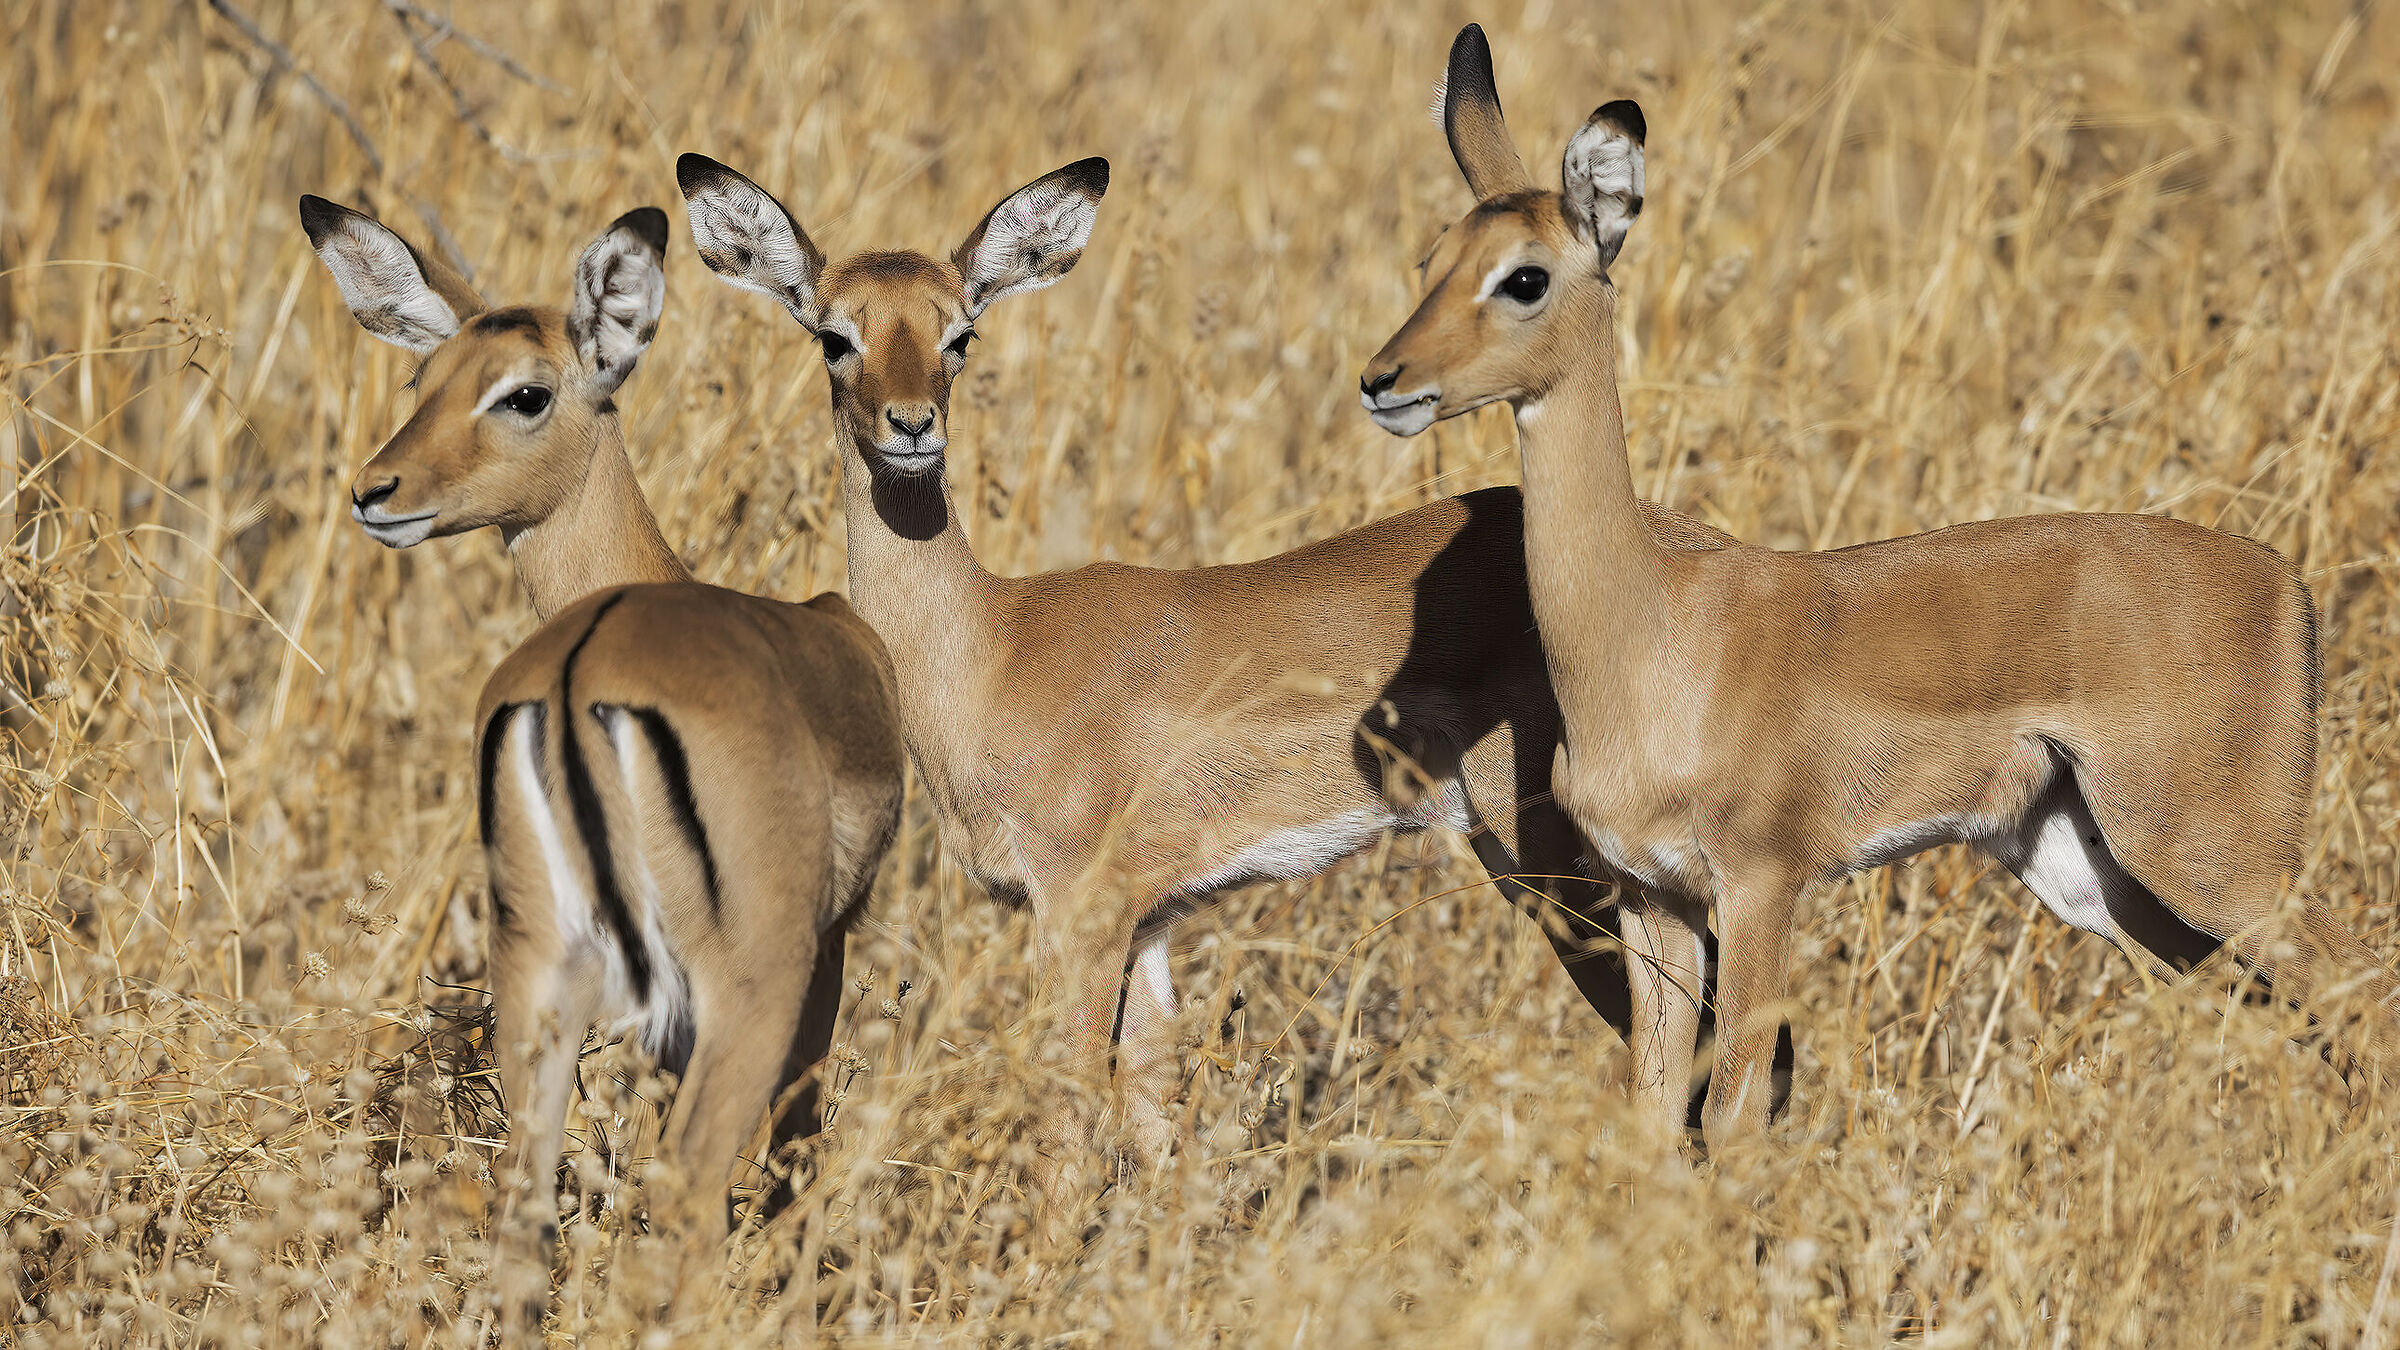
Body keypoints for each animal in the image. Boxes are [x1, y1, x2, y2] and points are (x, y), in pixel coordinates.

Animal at [300, 196, 906, 1331]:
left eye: (520, 392)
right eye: (423, 382)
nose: (373, 491)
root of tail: (580, 673)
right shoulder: (825, 949)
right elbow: (795, 1164)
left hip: (539, 974)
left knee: (525, 1210)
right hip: (743, 991)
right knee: (689, 1196)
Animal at [676, 151, 1791, 1237]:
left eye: (961, 331)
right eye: (834, 335)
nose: (912, 426)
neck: (992, 647)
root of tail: (1698, 561)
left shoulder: (1081, 917)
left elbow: (1069, 1145)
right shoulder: (1154, 926)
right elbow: (1161, 1146)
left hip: (1561, 869)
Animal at [1361, 24, 2399, 1148]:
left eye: (1524, 278)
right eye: (1429, 261)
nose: (1384, 380)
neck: (1651, 635)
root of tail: (2287, 585)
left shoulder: (1761, 885)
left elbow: (1732, 1115)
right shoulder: (1653, 899)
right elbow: (1654, 1112)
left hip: (2213, 864)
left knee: (2367, 996)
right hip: (2106, 881)